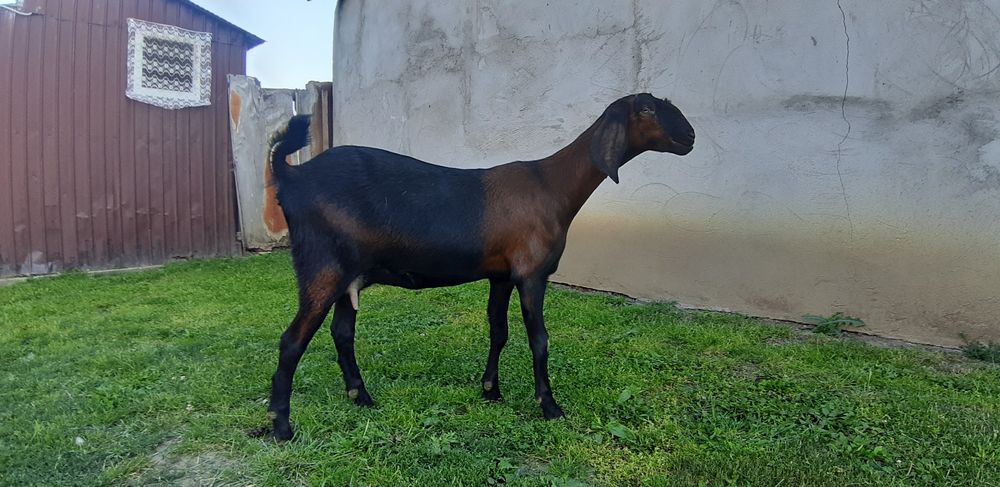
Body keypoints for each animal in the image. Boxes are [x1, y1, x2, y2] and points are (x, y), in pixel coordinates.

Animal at [264, 93, 695, 441]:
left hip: (349, 275)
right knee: (292, 341)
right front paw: (550, 406)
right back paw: (282, 425)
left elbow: (498, 331)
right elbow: (539, 340)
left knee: (342, 332)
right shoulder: (531, 274)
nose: (690, 136)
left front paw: (491, 391)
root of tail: (291, 174)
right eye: (646, 108)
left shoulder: (501, 275)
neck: (551, 186)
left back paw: (361, 397)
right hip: (322, 267)